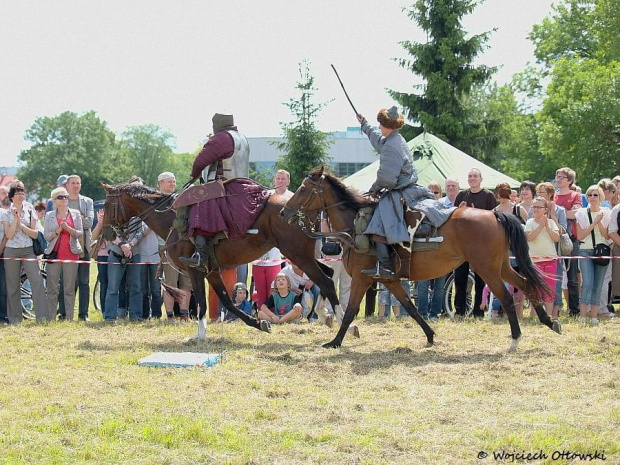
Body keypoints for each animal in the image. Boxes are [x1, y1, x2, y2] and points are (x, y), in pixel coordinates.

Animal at [98, 183, 346, 338]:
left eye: (108, 205)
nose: (106, 233)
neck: (172, 219)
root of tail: (301, 210)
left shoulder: (195, 271)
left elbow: (202, 302)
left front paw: (200, 334)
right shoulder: (211, 271)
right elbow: (228, 302)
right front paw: (259, 323)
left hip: (298, 255)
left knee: (325, 281)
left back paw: (343, 322)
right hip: (304, 256)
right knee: (328, 275)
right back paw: (325, 315)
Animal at [284, 167, 564, 352]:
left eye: (304, 189)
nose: (285, 211)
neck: (355, 226)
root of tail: (494, 215)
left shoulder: (363, 280)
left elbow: (351, 311)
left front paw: (336, 341)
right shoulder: (391, 280)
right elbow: (410, 307)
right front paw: (430, 336)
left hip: (487, 270)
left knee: (506, 298)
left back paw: (515, 339)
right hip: (502, 266)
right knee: (526, 284)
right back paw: (549, 322)